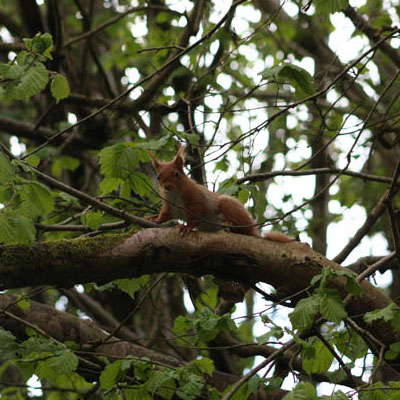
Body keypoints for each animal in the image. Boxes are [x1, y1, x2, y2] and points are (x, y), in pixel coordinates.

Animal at [147, 145, 290, 242]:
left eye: (176, 174)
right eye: (158, 177)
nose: (167, 187)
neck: (175, 194)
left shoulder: (197, 200)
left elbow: (197, 216)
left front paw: (187, 226)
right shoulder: (169, 205)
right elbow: (165, 215)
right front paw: (154, 219)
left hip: (228, 205)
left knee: (241, 227)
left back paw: (229, 224)